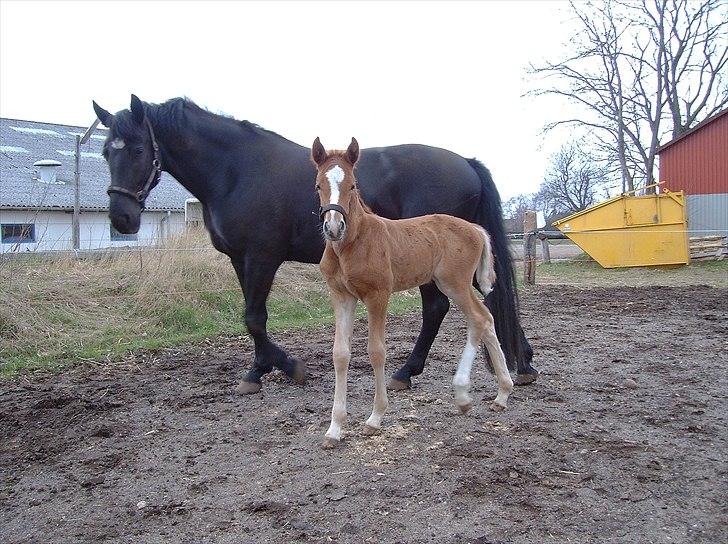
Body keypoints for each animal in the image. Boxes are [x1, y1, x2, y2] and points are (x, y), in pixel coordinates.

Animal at [91, 94, 536, 392]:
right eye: (105, 151)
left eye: (137, 148)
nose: (121, 218)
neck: (236, 169)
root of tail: (466, 163)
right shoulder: (240, 259)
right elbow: (252, 316)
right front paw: (260, 369)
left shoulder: (262, 257)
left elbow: (254, 317)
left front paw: (287, 367)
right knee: (484, 300)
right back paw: (523, 363)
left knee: (437, 309)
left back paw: (405, 372)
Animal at [312, 137, 512, 446]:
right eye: (318, 185)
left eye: (353, 185)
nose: (334, 227)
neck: (353, 244)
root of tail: (476, 229)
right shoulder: (342, 297)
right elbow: (340, 354)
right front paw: (334, 428)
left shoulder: (378, 295)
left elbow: (376, 351)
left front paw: (375, 417)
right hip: (456, 285)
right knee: (487, 319)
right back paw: (502, 394)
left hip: (454, 283)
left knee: (479, 319)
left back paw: (463, 394)